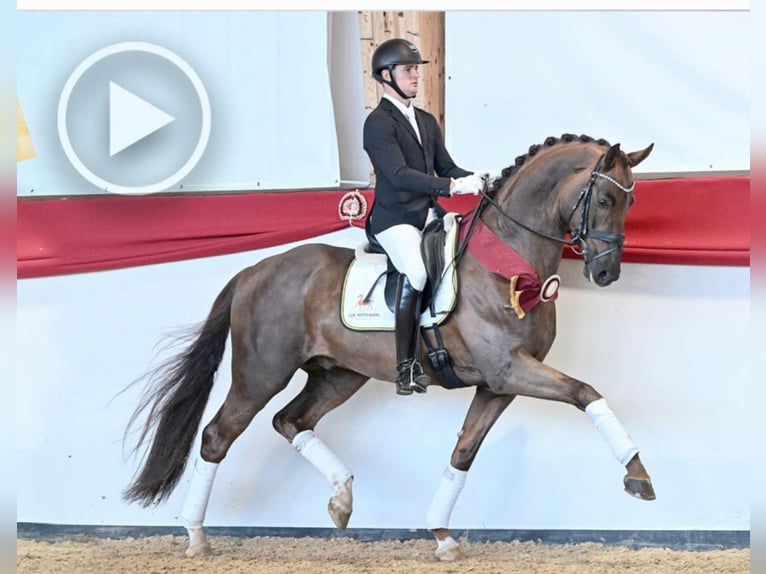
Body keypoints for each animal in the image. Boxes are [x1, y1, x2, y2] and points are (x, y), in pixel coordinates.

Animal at [123, 134, 656, 564]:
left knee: (290, 420)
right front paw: (638, 475)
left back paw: (342, 498)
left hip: (338, 374)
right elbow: (586, 392)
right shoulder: (508, 370)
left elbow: (463, 452)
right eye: (604, 197)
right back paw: (196, 538)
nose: (606, 273)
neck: (508, 262)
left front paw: (442, 537)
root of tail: (254, 270)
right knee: (218, 435)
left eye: (629, 205)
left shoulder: (498, 384)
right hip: (261, 373)